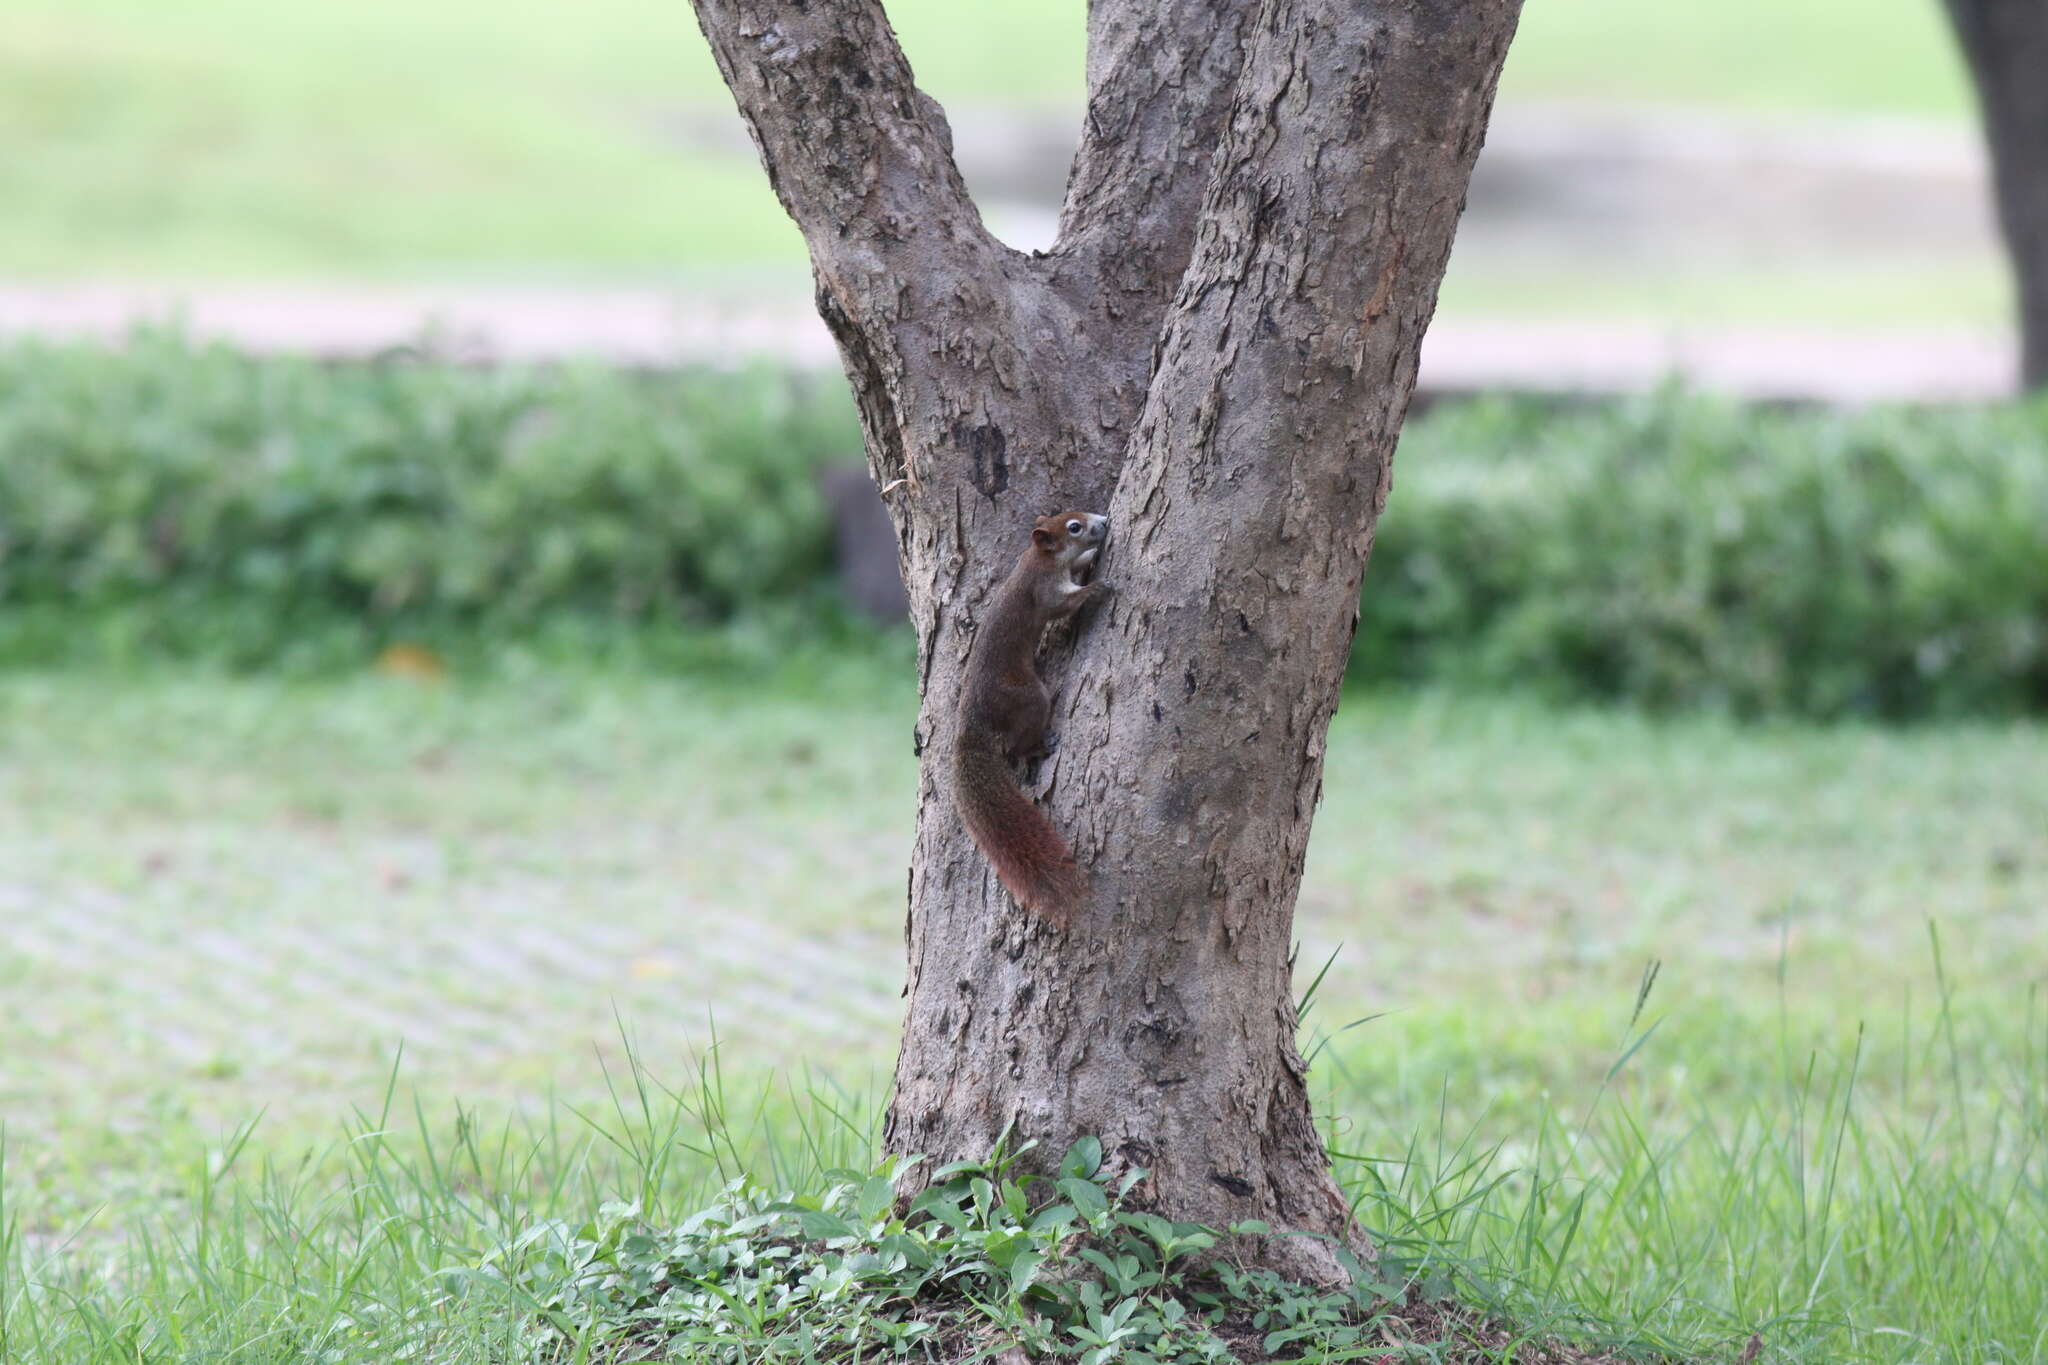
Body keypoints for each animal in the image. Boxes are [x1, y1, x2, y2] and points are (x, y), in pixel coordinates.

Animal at [954, 511, 1114, 929]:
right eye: (1074, 526)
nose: (1103, 522)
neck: (1037, 558)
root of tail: (974, 721)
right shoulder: (1044, 592)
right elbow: (1062, 605)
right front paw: (1097, 586)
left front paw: (1089, 559)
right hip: (1027, 697)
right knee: (1016, 745)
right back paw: (1040, 747)